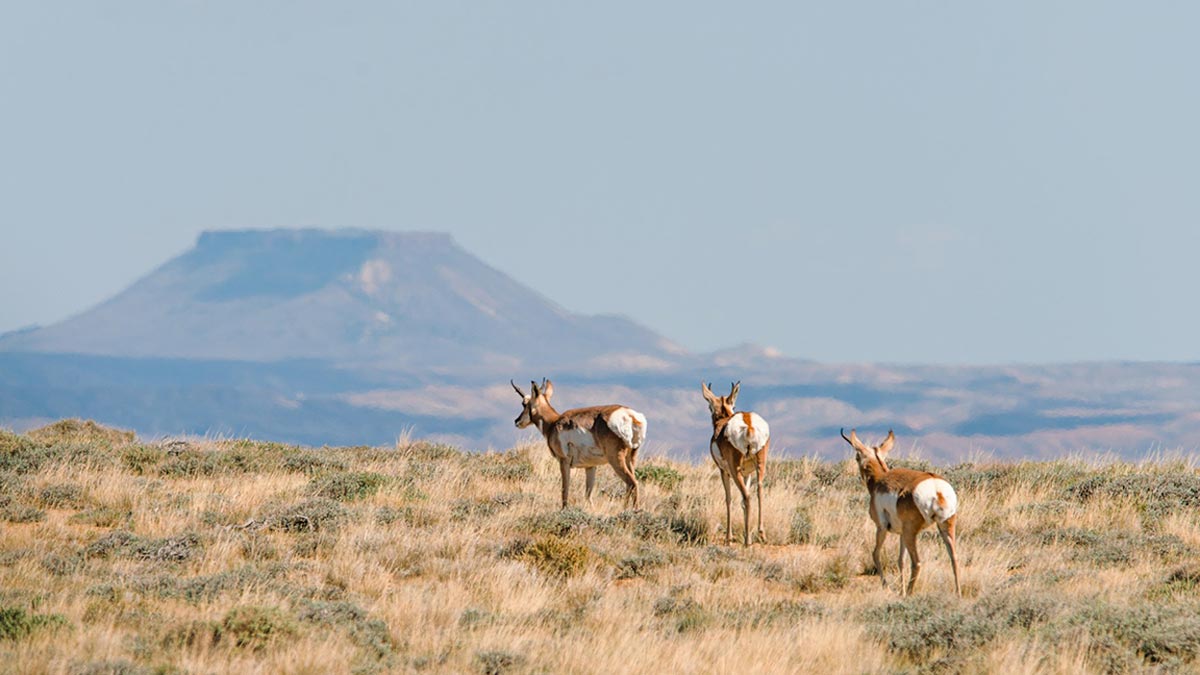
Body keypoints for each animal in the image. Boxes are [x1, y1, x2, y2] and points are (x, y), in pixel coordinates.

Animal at [512, 378, 646, 509]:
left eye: (524, 404)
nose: (516, 421)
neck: (553, 422)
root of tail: (630, 415)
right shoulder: (590, 466)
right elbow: (588, 495)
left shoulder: (564, 461)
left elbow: (565, 490)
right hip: (630, 459)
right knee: (632, 484)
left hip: (616, 459)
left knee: (631, 483)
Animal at [702, 381, 771, 546]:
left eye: (709, 406)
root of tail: (748, 423)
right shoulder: (747, 473)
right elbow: (741, 503)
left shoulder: (723, 471)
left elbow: (728, 499)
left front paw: (729, 538)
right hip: (760, 466)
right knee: (758, 491)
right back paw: (761, 534)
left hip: (734, 470)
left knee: (747, 496)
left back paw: (747, 542)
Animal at [840, 428, 961, 596]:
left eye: (857, 457)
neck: (880, 479)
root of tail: (935, 486)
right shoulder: (901, 533)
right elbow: (900, 561)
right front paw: (900, 591)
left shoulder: (881, 528)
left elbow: (876, 554)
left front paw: (888, 587)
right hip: (945, 526)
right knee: (954, 559)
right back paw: (958, 593)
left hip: (911, 532)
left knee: (916, 562)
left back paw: (909, 594)